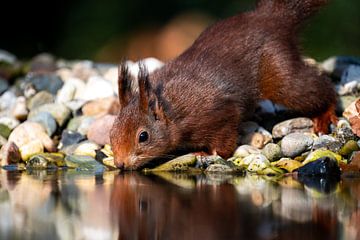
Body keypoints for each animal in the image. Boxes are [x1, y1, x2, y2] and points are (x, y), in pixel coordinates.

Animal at [109, 0, 338, 170]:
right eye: (111, 133)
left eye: (143, 136)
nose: (120, 164)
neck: (170, 110)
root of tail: (270, 18)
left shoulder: (219, 112)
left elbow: (224, 141)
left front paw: (207, 153)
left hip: (280, 73)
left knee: (313, 87)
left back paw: (325, 113)